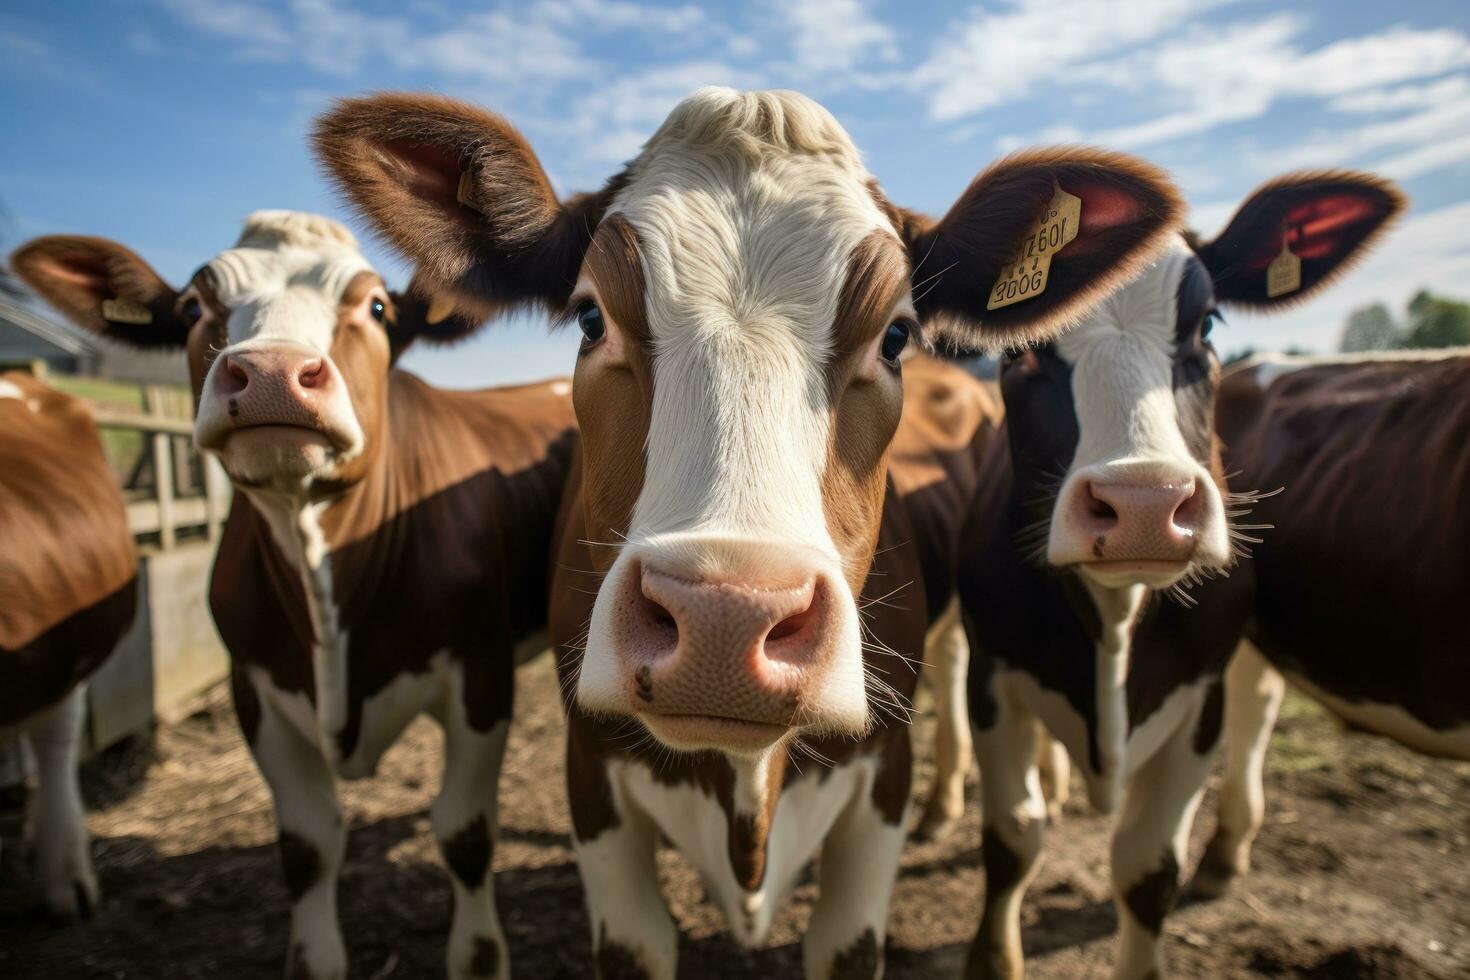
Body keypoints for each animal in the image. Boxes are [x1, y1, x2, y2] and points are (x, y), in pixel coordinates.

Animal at [17, 215, 582, 980]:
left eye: (377, 306)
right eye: (192, 307)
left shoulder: (481, 673)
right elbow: (308, 845)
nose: (272, 376)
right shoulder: (254, 687)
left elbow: (465, 833)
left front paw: (480, 956)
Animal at [946, 172, 1405, 975]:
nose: (1145, 503)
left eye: (1208, 326)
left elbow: (1147, 867)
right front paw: (993, 958)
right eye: (1019, 347)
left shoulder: (1202, 694)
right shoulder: (992, 673)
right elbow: (1012, 839)